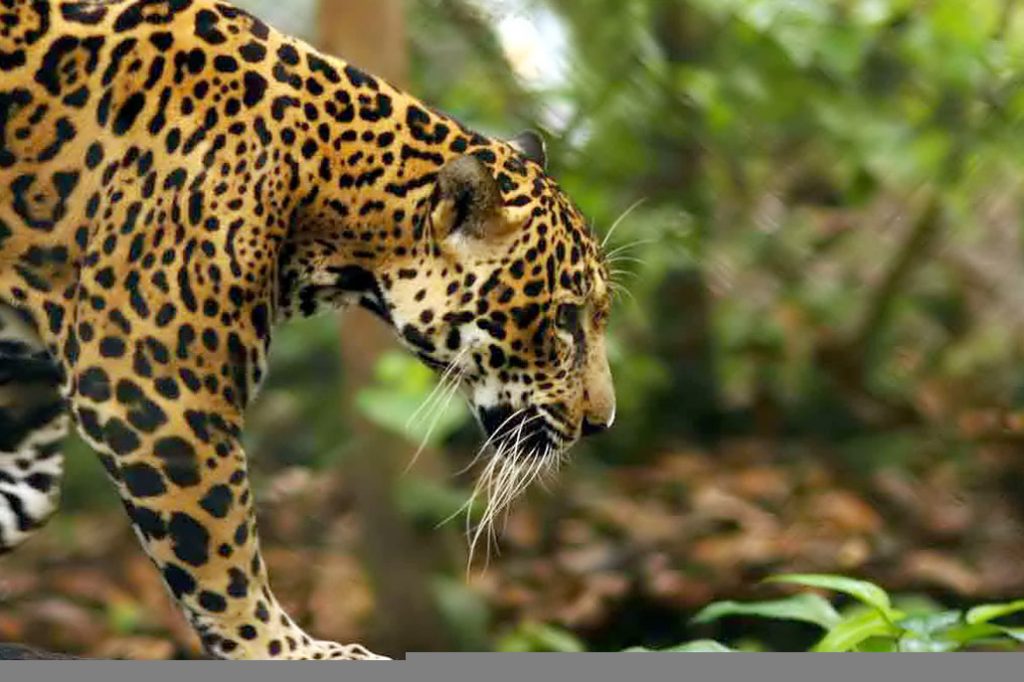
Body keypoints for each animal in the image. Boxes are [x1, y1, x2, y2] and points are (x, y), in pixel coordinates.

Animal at [0, 0, 616, 660]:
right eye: (564, 318)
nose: (601, 423)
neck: (325, 186)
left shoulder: (27, 392)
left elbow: (21, 501)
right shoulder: (151, 391)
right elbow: (219, 554)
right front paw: (281, 649)